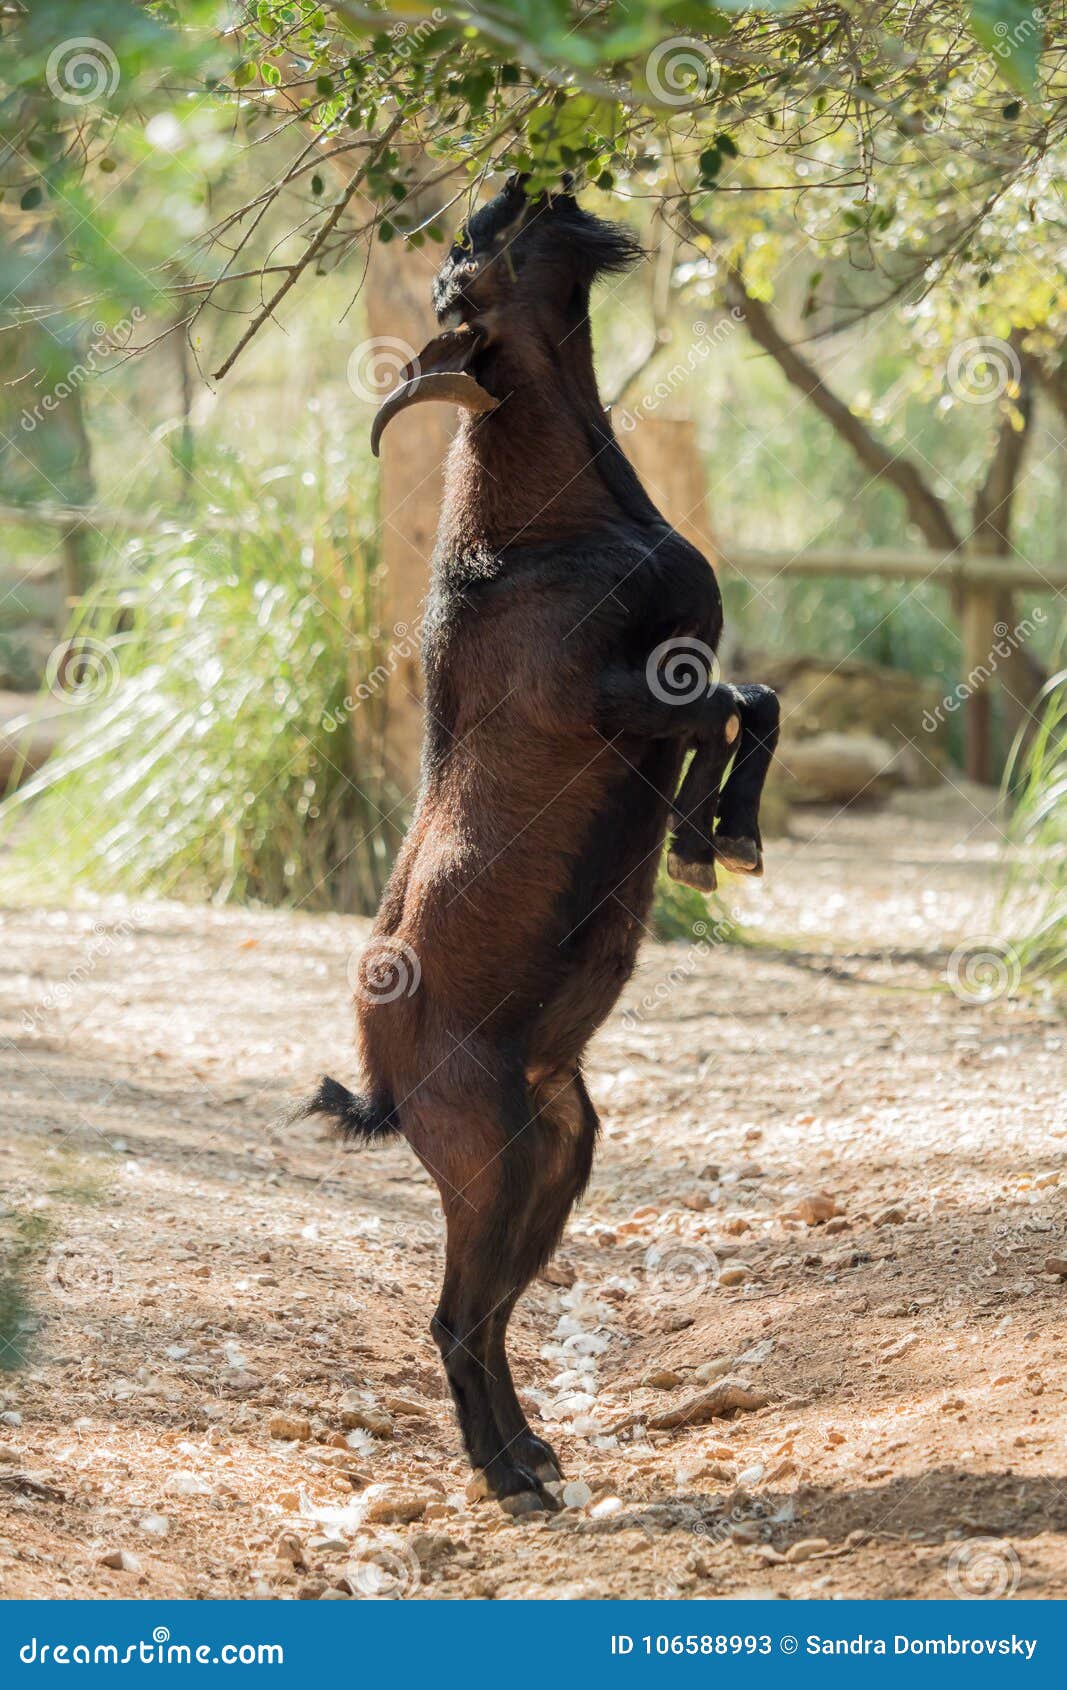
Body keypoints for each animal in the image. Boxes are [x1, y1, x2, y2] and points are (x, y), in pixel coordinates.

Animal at [303, 178, 779, 1514]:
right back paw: (509, 1475)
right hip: (486, 1148)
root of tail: (379, 1076)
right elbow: (734, 702)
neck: (543, 527)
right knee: (454, 1317)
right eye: (475, 255)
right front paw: (710, 838)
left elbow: (753, 700)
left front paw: (708, 834)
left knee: (495, 1313)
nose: (523, 183)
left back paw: (530, 1455)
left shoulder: (668, 675)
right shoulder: (609, 697)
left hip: (557, 1143)